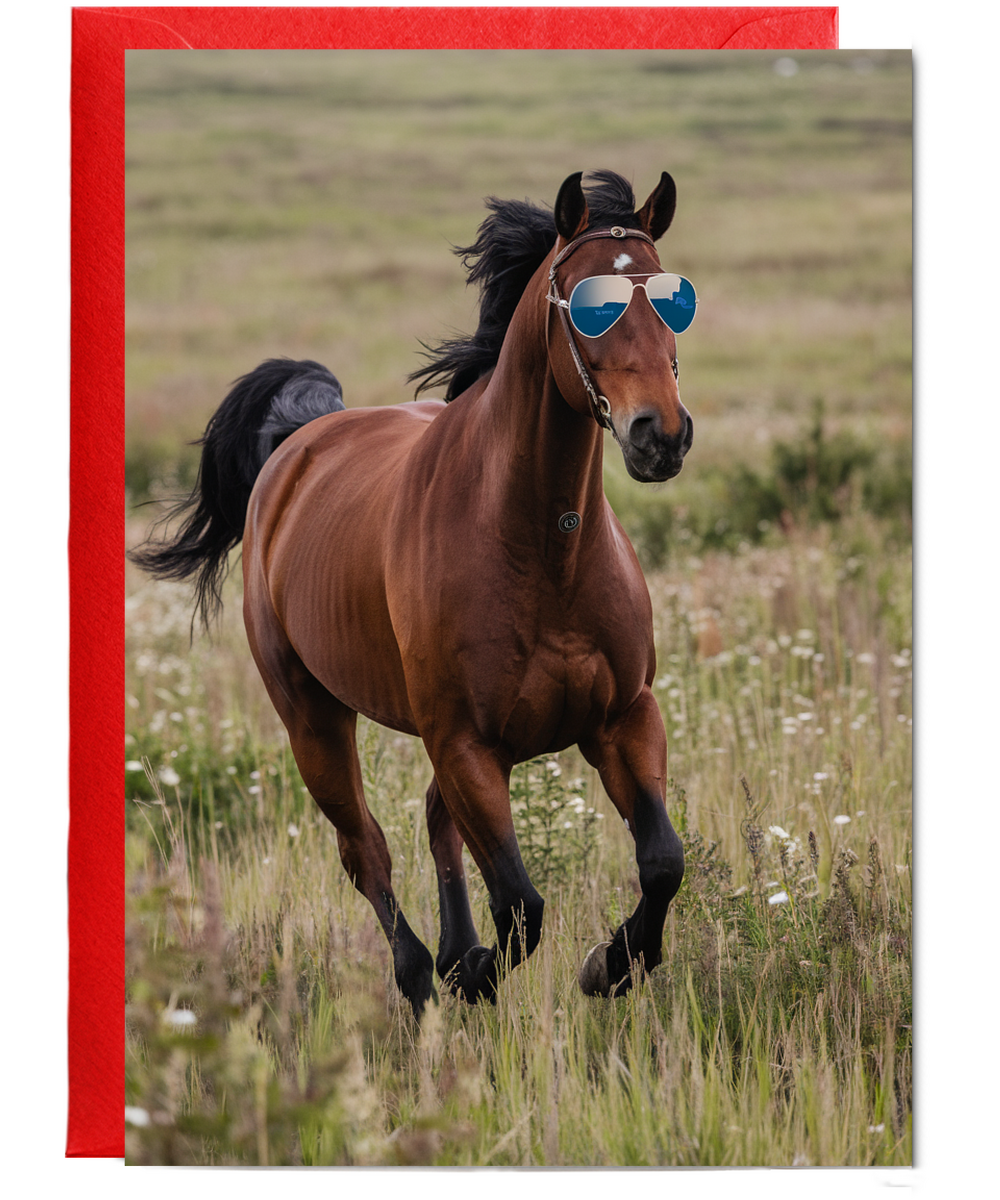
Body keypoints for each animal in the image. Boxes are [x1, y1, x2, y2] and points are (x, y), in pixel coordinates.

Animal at [130, 169, 696, 1015]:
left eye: (673, 298)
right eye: (589, 302)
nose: (661, 435)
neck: (544, 551)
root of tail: (297, 445)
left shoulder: (622, 716)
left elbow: (662, 861)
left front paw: (611, 964)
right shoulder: (465, 743)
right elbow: (521, 904)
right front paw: (477, 971)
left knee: (434, 825)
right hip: (313, 719)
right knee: (366, 850)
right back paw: (422, 973)